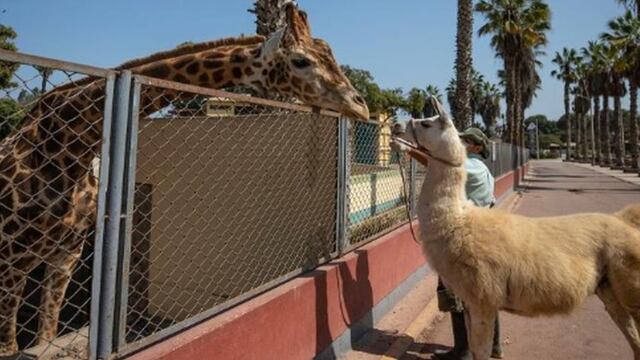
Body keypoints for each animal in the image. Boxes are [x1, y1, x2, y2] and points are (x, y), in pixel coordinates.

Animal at [0, 4, 370, 356]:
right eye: (301, 61)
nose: (361, 106)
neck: (66, 147)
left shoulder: (66, 255)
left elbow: (45, 337)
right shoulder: (11, 259)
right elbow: (11, 346)